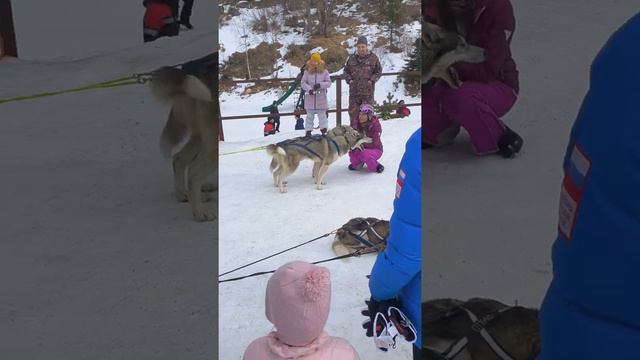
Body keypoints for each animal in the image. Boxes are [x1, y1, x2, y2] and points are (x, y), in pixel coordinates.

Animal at [149, 60, 219, 221]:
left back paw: (184, 194)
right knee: (194, 172)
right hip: (212, 142)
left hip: (201, 136)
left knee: (179, 159)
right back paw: (200, 213)